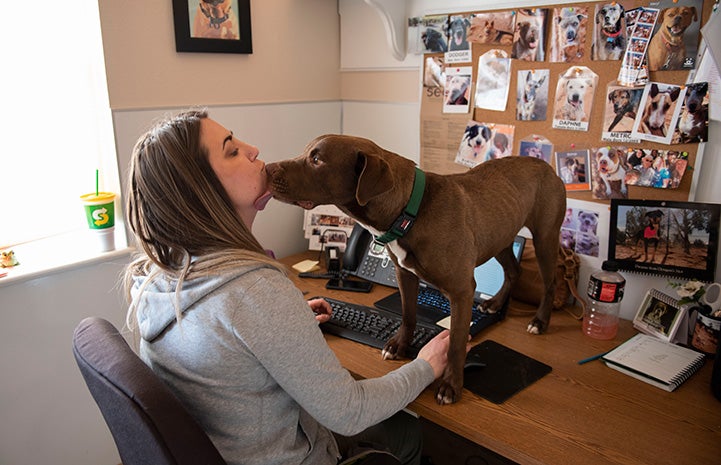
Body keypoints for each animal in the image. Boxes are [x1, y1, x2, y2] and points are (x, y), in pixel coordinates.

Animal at [266, 133, 568, 402]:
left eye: (317, 159)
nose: (267, 168)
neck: (411, 211)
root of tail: (546, 167)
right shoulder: (405, 275)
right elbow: (408, 314)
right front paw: (400, 345)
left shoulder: (461, 291)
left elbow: (456, 342)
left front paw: (451, 385)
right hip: (501, 237)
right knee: (513, 270)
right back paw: (494, 303)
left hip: (545, 237)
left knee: (550, 282)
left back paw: (539, 321)